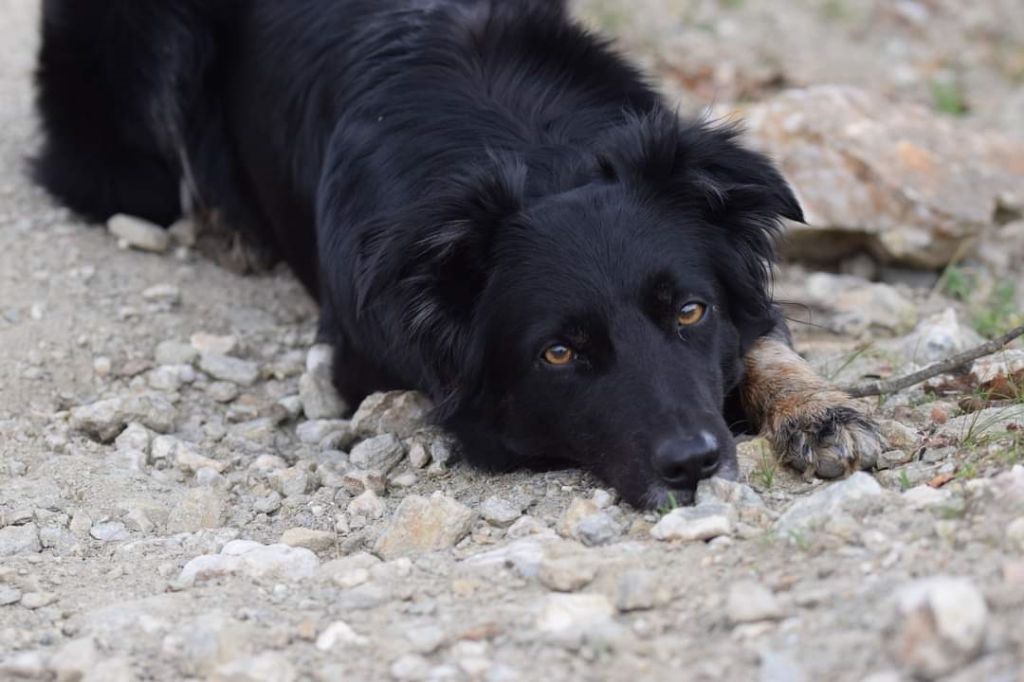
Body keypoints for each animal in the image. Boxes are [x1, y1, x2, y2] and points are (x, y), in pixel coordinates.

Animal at [32, 0, 880, 503]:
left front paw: (820, 411)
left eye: (691, 311)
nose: (696, 463)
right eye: (558, 354)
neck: (527, 149)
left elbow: (765, 342)